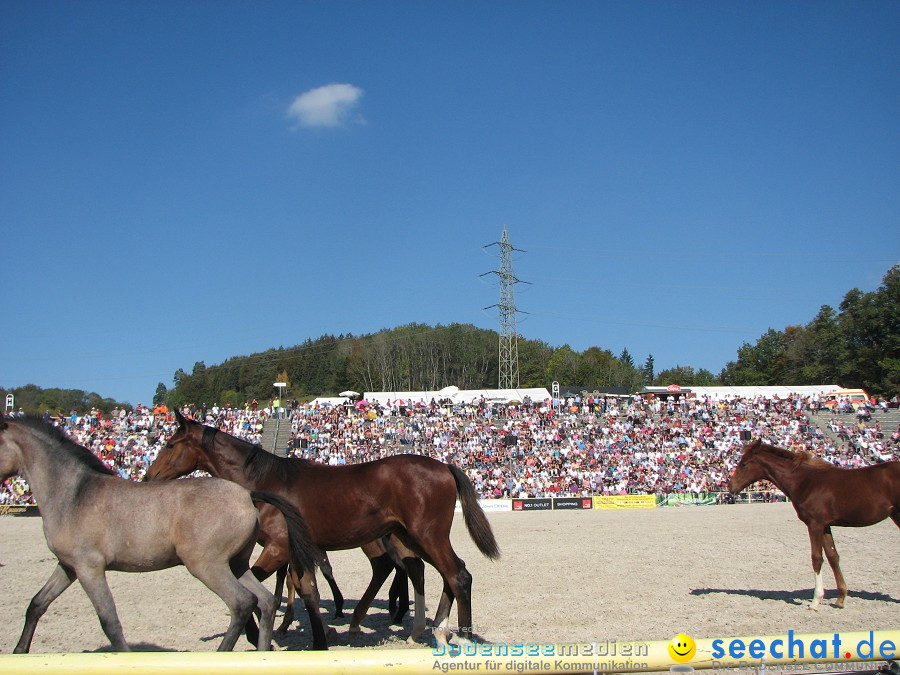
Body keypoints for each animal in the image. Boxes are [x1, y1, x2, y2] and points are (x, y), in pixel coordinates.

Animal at [147, 412, 500, 648]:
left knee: (457, 575)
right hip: (410, 537)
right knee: (440, 573)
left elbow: (261, 588)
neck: (268, 482)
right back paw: (431, 630)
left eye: (170, 444)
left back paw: (461, 638)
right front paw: (317, 639)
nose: (149, 477)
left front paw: (258, 633)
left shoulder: (278, 548)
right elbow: (308, 592)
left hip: (426, 535)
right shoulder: (298, 551)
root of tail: (445, 466)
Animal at [728, 440, 896, 608]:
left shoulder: (815, 524)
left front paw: (815, 601)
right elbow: (833, 557)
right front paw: (840, 598)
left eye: (744, 464)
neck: (805, 481)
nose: (731, 487)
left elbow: (816, 558)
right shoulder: (825, 526)